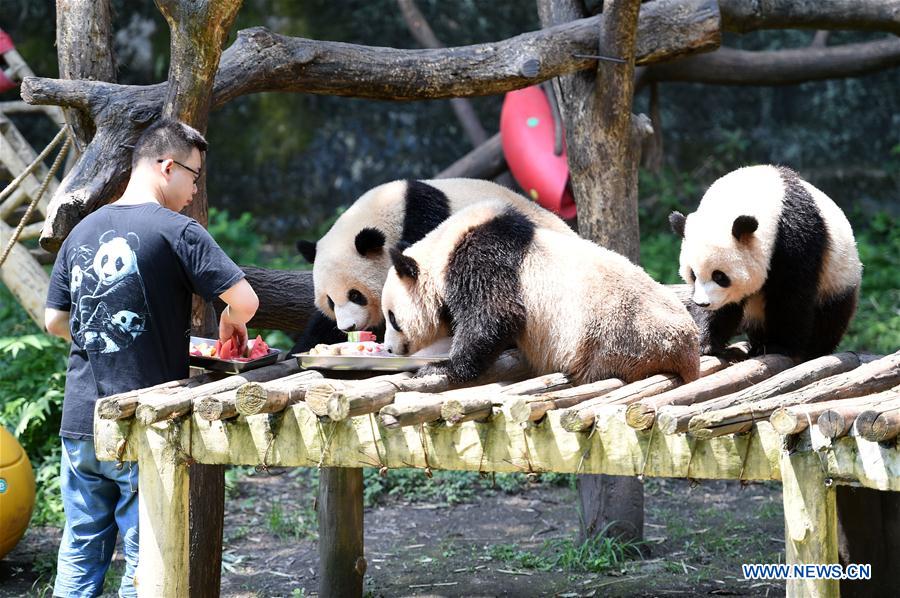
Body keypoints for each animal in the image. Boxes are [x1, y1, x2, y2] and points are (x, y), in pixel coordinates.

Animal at [376, 202, 700, 386]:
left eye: (392, 318)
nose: (389, 349)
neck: (444, 247)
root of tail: (686, 349)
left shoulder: (481, 259)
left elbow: (495, 315)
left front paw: (440, 368)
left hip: (615, 340)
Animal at [672, 164, 860, 360]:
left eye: (720, 276)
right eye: (693, 275)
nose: (703, 303)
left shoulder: (796, 237)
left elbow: (791, 294)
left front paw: (779, 346)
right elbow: (725, 307)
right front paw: (707, 343)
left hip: (837, 277)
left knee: (831, 315)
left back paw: (812, 349)